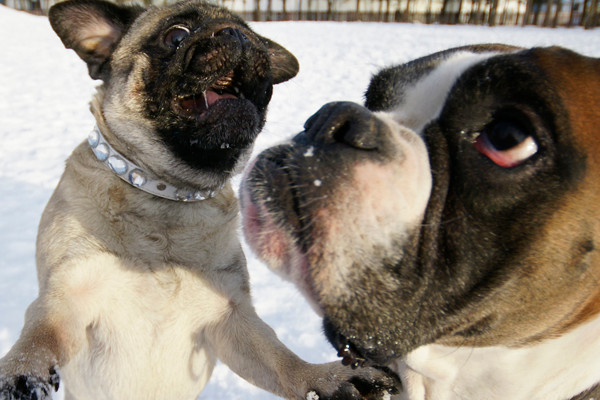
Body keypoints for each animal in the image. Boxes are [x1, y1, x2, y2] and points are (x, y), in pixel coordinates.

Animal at [1, 0, 404, 400]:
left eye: (259, 41)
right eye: (175, 35)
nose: (237, 35)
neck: (166, 194)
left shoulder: (232, 319)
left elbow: (281, 360)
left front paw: (324, 378)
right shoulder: (66, 297)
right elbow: (39, 334)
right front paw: (20, 371)